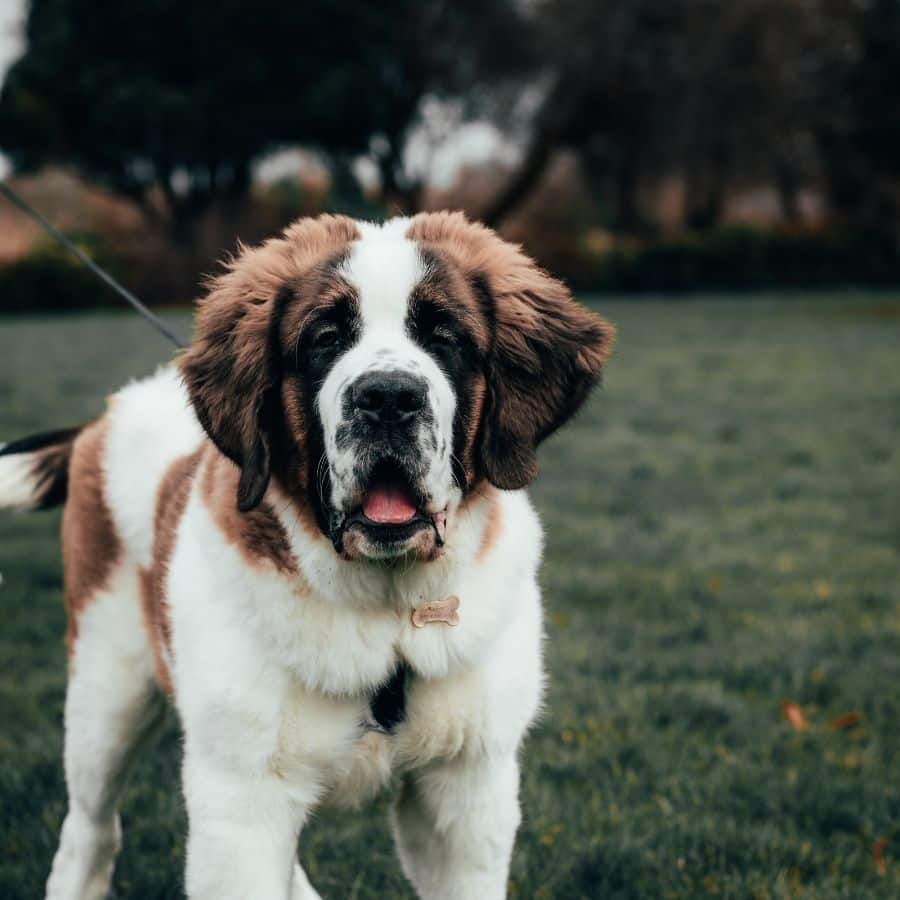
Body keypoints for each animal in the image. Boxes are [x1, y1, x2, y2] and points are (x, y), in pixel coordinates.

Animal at [0, 213, 612, 900]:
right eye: (324, 339)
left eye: (444, 337)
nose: (388, 397)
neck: (386, 610)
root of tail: (105, 417)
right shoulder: (240, 802)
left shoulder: (466, 789)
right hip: (108, 690)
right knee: (90, 828)